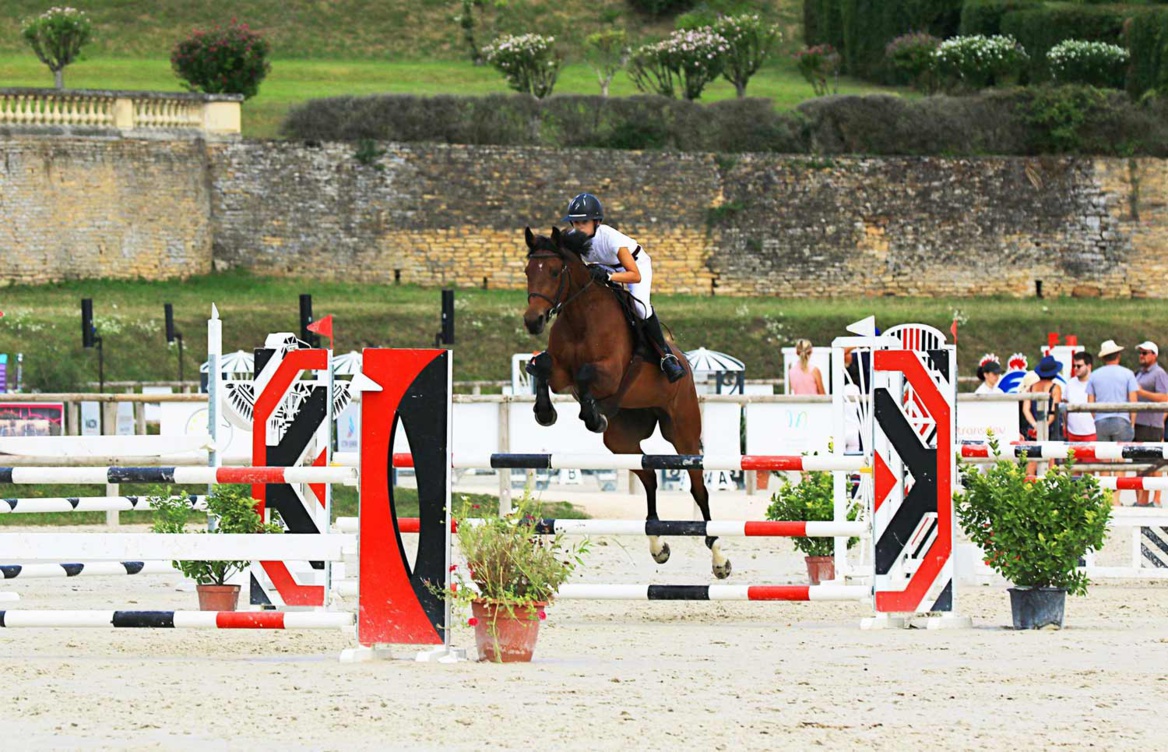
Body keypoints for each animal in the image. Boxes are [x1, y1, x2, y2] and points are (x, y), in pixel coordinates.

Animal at [523, 226, 728, 579]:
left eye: (553, 271)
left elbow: (586, 375)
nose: (533, 320)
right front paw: (545, 412)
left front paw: (590, 414)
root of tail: (687, 366)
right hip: (622, 440)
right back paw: (658, 546)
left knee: (698, 486)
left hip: (683, 432)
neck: (581, 317)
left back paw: (718, 558)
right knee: (649, 476)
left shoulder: (609, 373)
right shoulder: (560, 373)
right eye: (526, 272)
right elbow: (541, 366)